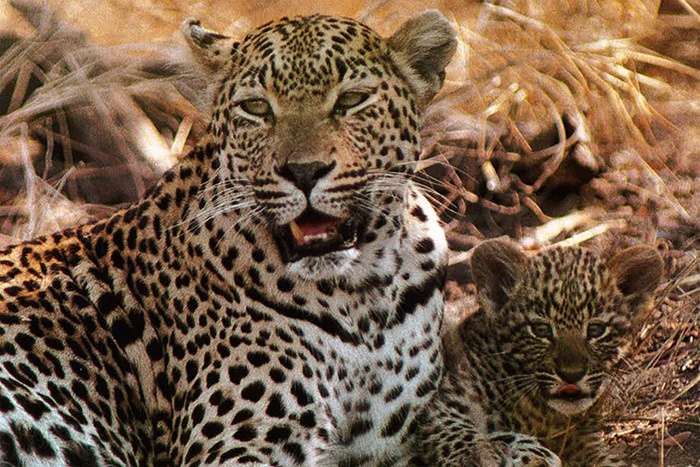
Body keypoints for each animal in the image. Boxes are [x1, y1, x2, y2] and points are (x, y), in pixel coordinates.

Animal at [0, 10, 456, 466]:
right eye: (256, 107)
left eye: (351, 100)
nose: (304, 171)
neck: (360, 302)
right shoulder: (236, 445)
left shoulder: (397, 442)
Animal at [415, 239, 663, 466]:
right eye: (540, 329)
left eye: (596, 329)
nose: (572, 374)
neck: (543, 415)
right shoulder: (436, 403)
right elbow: (455, 430)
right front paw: (480, 455)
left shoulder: (582, 440)